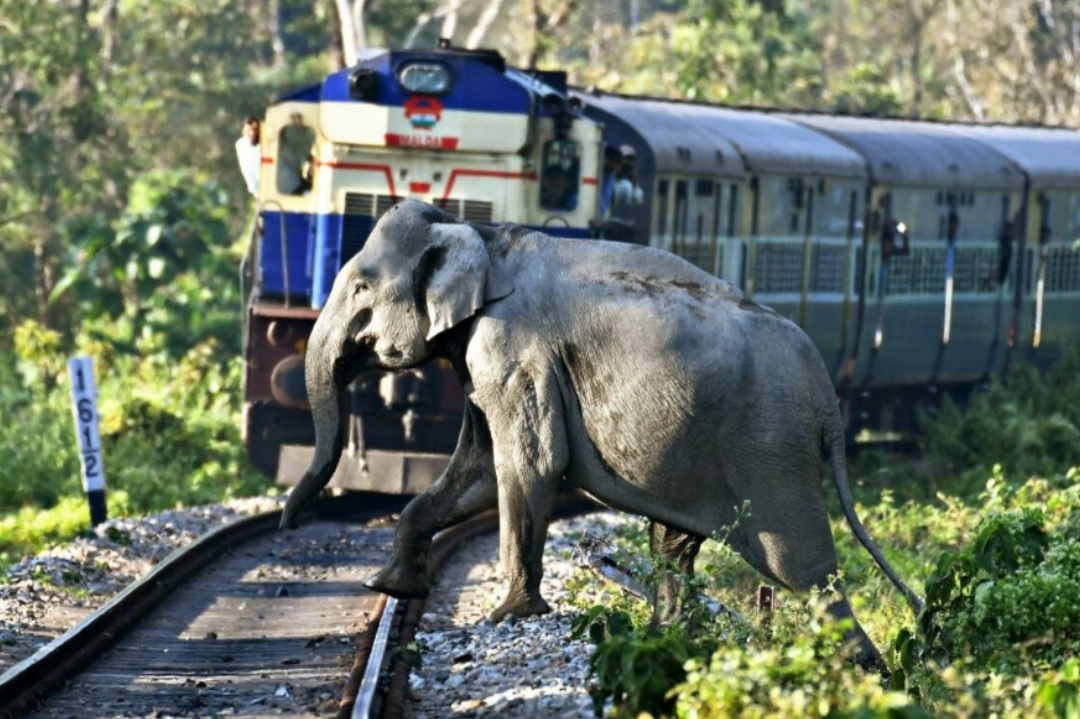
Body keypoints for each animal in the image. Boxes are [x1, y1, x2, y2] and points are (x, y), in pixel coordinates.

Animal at [280, 199, 922, 673]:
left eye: (361, 289)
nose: (286, 523)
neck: (482, 235)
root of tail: (827, 397)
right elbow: (479, 470)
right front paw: (390, 586)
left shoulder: (513, 350)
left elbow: (528, 465)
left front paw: (507, 618)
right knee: (675, 542)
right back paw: (669, 635)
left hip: (770, 449)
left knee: (803, 566)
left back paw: (864, 670)